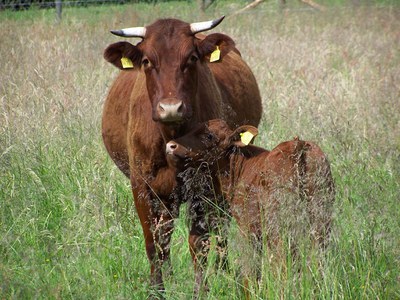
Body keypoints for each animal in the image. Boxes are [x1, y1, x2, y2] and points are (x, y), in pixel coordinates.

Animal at [101, 17, 260, 296]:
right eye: (147, 61)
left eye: (192, 58)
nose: (171, 108)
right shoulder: (141, 187)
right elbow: (153, 242)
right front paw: (157, 289)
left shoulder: (204, 186)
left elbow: (199, 242)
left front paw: (201, 290)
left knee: (220, 227)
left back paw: (223, 270)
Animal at [165, 120, 334, 290]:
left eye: (209, 136)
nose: (171, 145)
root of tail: (297, 144)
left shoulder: (248, 227)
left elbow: (252, 268)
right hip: (321, 219)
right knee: (319, 258)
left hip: (280, 226)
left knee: (283, 261)